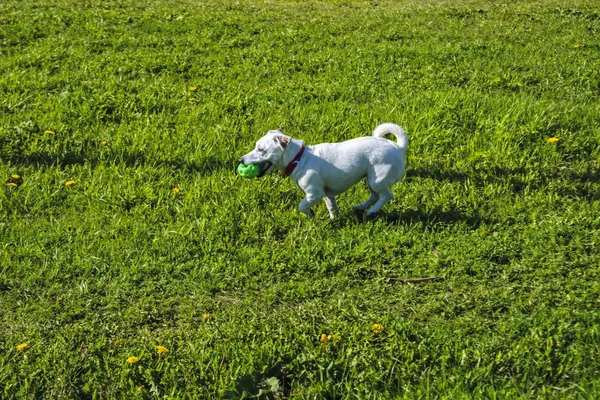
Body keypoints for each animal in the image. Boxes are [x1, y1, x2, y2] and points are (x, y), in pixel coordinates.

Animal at [239, 122, 408, 219]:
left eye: (260, 149)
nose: (240, 160)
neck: (299, 158)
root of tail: (398, 148)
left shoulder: (315, 193)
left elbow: (301, 206)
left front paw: (310, 215)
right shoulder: (327, 194)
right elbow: (332, 207)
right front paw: (334, 220)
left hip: (377, 179)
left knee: (386, 195)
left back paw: (372, 211)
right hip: (370, 178)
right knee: (374, 196)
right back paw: (360, 207)